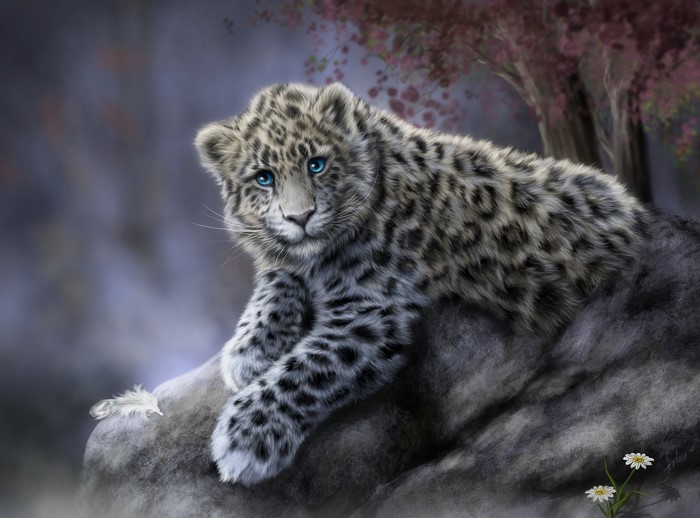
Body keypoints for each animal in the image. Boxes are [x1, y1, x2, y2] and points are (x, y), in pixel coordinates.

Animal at [194, 82, 648, 486]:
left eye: (316, 164)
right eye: (264, 178)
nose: (299, 217)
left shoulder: (372, 311)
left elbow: (305, 369)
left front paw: (245, 437)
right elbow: (276, 279)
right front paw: (249, 350)